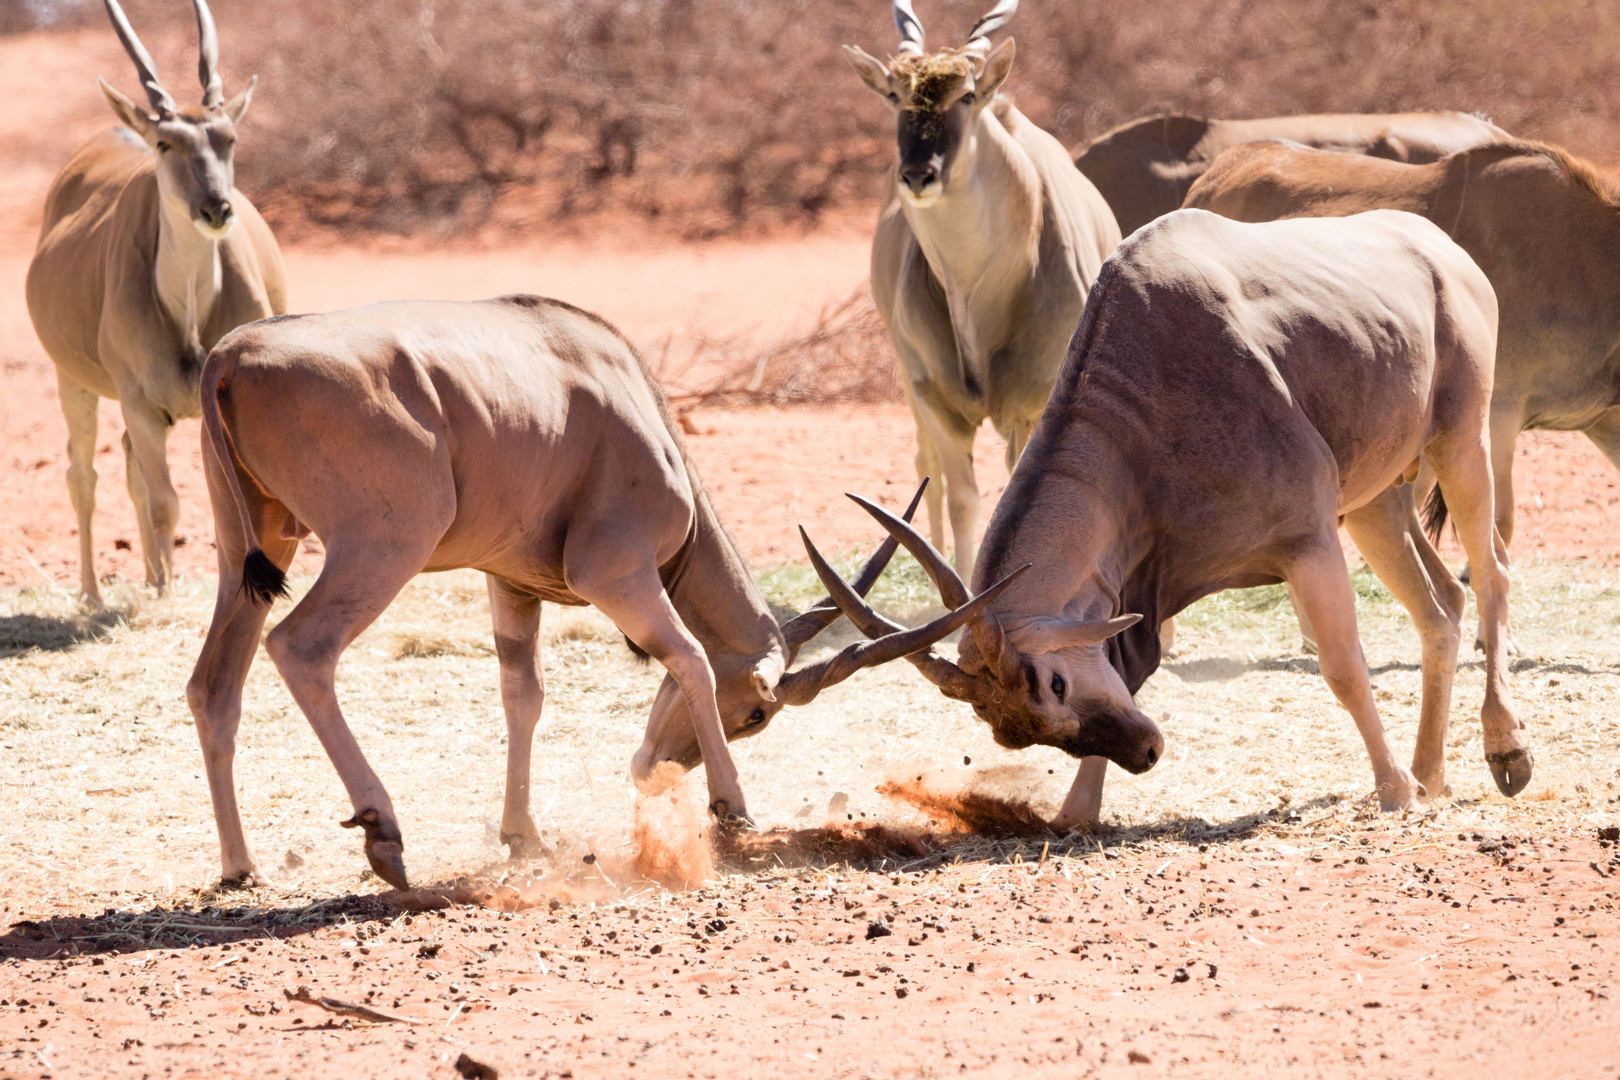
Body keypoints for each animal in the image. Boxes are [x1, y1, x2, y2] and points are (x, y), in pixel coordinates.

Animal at [26, 0, 286, 608]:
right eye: (168, 143)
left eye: (229, 139)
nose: (217, 208)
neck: (188, 308)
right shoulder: (140, 403)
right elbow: (164, 500)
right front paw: (165, 598)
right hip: (73, 381)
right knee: (85, 476)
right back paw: (95, 595)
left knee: (126, 467)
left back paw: (149, 576)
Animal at [186, 293, 1010, 887]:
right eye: (756, 714)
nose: (651, 766)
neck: (630, 396)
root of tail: (230, 357)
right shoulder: (616, 572)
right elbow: (690, 656)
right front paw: (733, 809)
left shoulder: (510, 585)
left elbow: (523, 694)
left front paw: (523, 837)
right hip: (382, 547)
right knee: (301, 648)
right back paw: (382, 833)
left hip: (250, 554)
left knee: (212, 685)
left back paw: (239, 867)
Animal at [816, 210, 1522, 835]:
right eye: (1010, 728)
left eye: (1054, 682)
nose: (1147, 752)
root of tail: (1444, 252)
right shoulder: (1143, 586)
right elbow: (1130, 675)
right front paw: (1076, 812)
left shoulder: (1309, 541)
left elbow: (1343, 667)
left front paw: (1395, 794)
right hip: (1375, 505)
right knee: (1441, 606)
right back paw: (1430, 774)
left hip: (1461, 445)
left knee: (1491, 576)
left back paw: (1504, 750)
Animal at [842, 0, 1121, 586]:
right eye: (895, 95)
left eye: (967, 95)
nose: (917, 175)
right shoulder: (934, 398)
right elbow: (964, 499)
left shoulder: (1036, 406)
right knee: (927, 470)